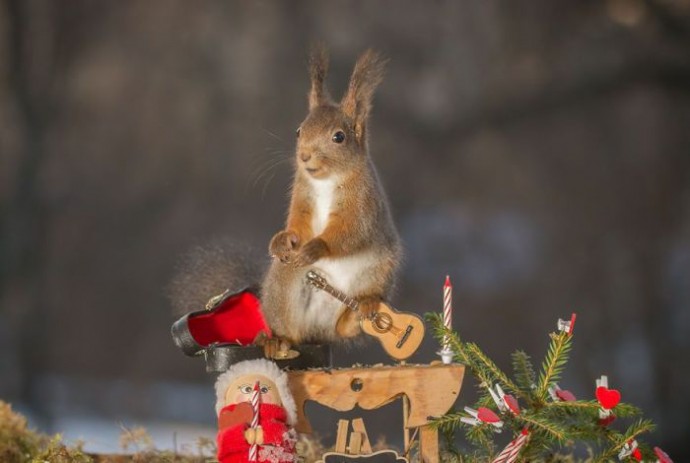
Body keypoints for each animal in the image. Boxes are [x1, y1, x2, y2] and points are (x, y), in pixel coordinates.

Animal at [260, 45, 400, 346]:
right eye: (298, 131)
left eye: (339, 137)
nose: (304, 156)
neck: (326, 180)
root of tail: (318, 328)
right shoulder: (303, 194)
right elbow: (298, 223)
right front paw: (283, 239)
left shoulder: (362, 202)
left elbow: (352, 230)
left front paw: (316, 247)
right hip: (286, 281)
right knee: (293, 330)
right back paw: (279, 341)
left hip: (380, 268)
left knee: (346, 327)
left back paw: (362, 311)